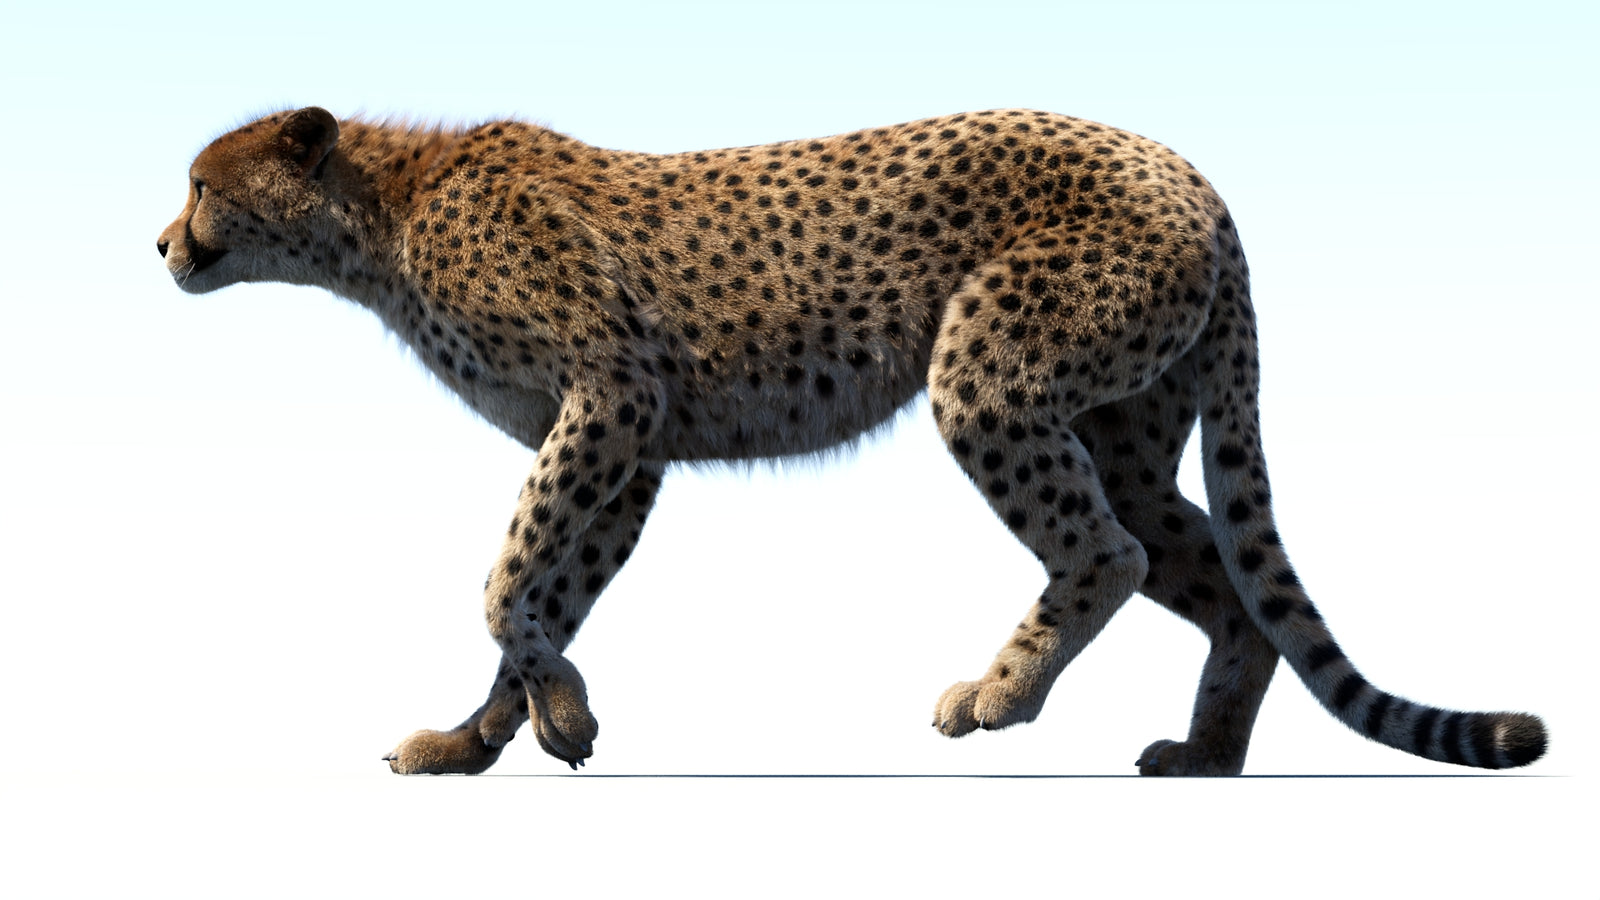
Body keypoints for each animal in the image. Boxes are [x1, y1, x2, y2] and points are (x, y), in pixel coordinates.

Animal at [158, 106, 1546, 775]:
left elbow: (505, 581)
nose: (162, 242)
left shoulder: (610, 398)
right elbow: (543, 593)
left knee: (1107, 553)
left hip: (987, 372)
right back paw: (1206, 755)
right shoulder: (629, 448)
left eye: (202, 183)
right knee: (1210, 573)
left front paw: (546, 713)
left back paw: (998, 696)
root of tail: (1188, 170)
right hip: (1125, 423)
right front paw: (500, 735)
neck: (377, 218)